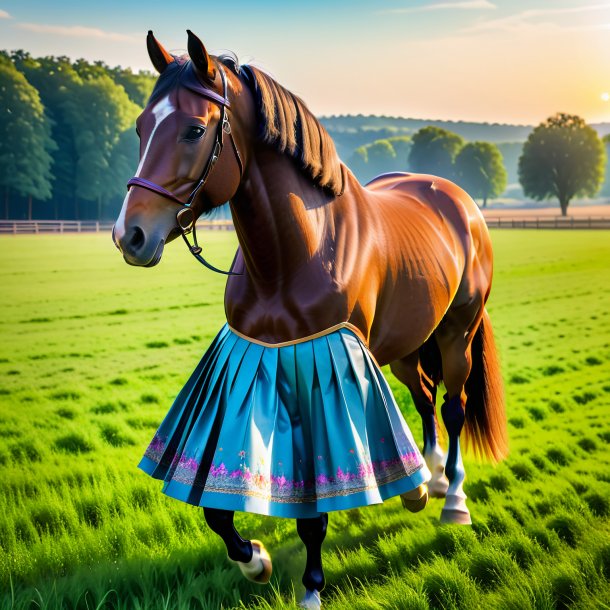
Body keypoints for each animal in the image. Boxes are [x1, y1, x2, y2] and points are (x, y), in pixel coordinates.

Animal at [111, 29, 506, 608]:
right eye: (141, 126)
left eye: (194, 129)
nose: (130, 236)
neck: (296, 254)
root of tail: (459, 201)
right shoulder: (254, 364)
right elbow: (216, 508)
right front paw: (255, 559)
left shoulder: (323, 367)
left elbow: (315, 512)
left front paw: (312, 588)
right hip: (406, 344)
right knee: (424, 394)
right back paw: (425, 483)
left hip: (458, 332)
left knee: (452, 406)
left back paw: (452, 499)